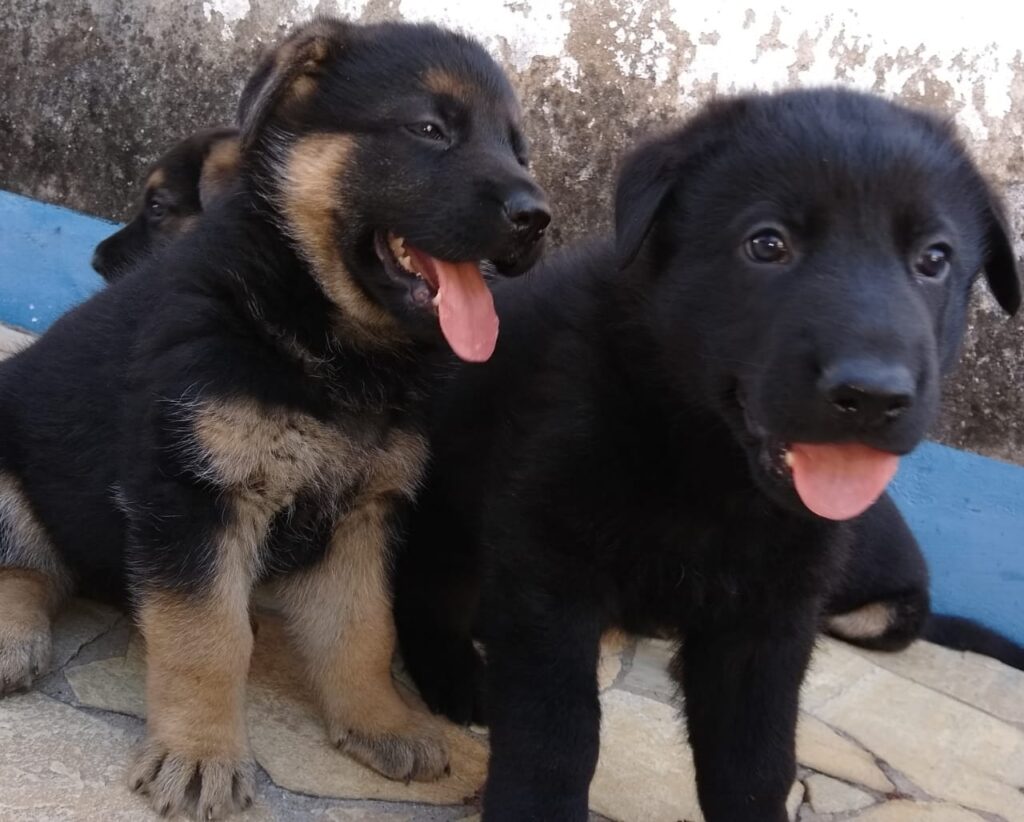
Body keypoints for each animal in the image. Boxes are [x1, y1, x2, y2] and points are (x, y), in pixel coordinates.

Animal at [391, 87, 1015, 818]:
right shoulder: (549, 577)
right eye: (767, 245)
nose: (872, 396)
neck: (709, 469)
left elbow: (754, 761)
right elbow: (554, 738)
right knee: (426, 592)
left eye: (934, 259)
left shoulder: (767, 623)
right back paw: (454, 675)